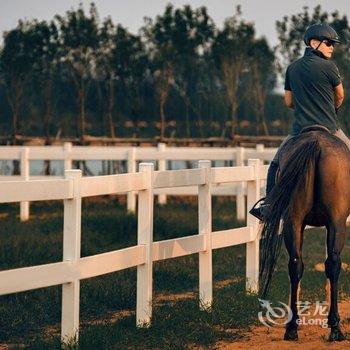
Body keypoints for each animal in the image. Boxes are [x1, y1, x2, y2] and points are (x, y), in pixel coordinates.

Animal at [258, 126, 350, 342]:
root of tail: (316, 143)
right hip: (334, 223)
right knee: (332, 264)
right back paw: (334, 327)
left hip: (295, 221)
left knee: (296, 264)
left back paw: (292, 328)